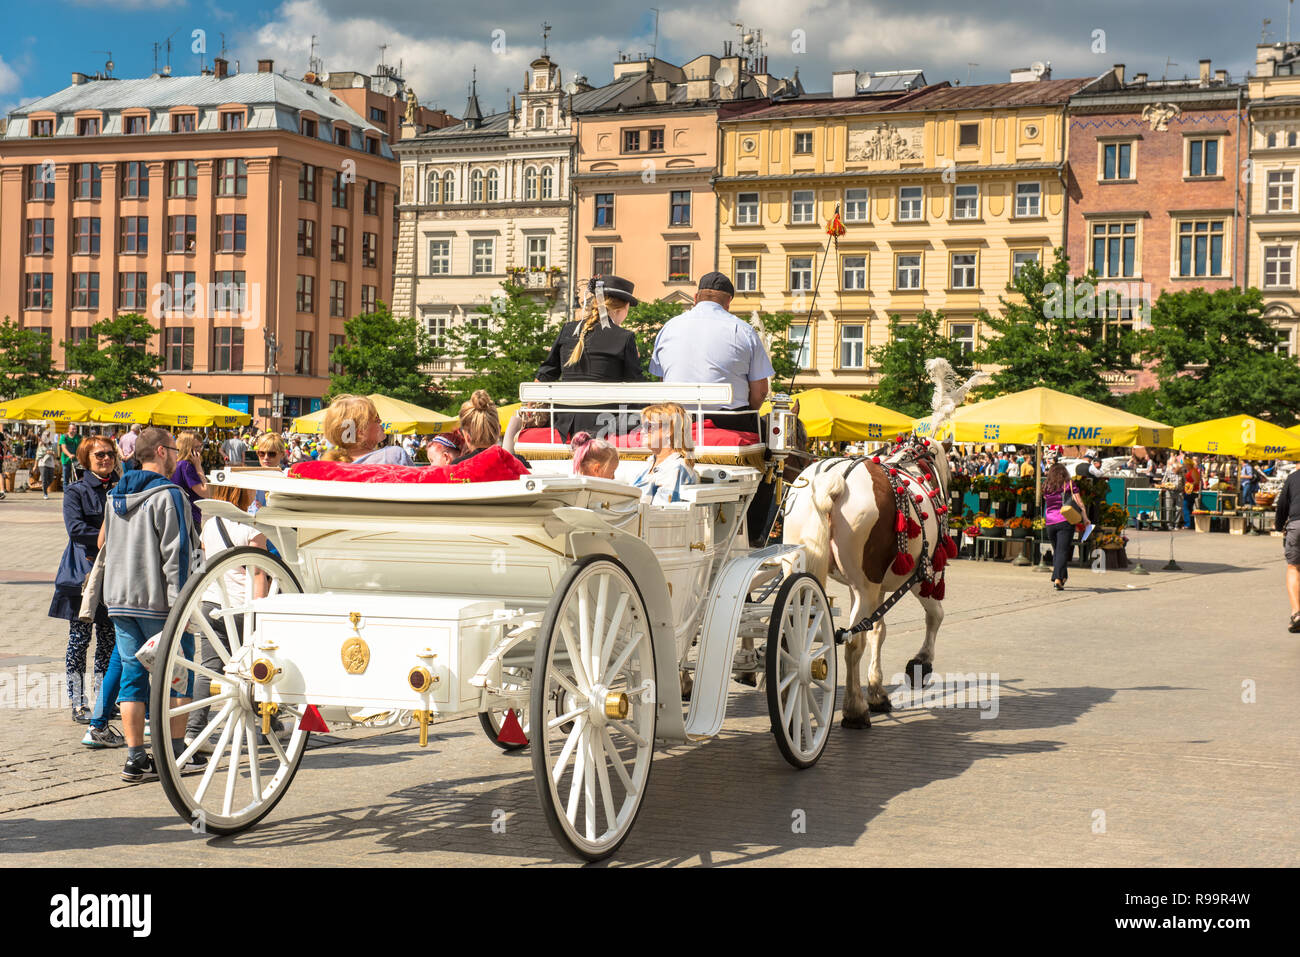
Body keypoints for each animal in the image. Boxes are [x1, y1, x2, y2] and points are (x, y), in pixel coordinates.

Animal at [780, 358, 982, 722]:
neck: (915, 470)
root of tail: (831, 480)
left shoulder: (873, 586)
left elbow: (879, 630)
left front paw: (877, 691)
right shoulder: (923, 575)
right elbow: (935, 615)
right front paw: (919, 664)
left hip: (804, 568)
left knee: (796, 634)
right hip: (867, 584)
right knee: (851, 641)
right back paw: (855, 709)